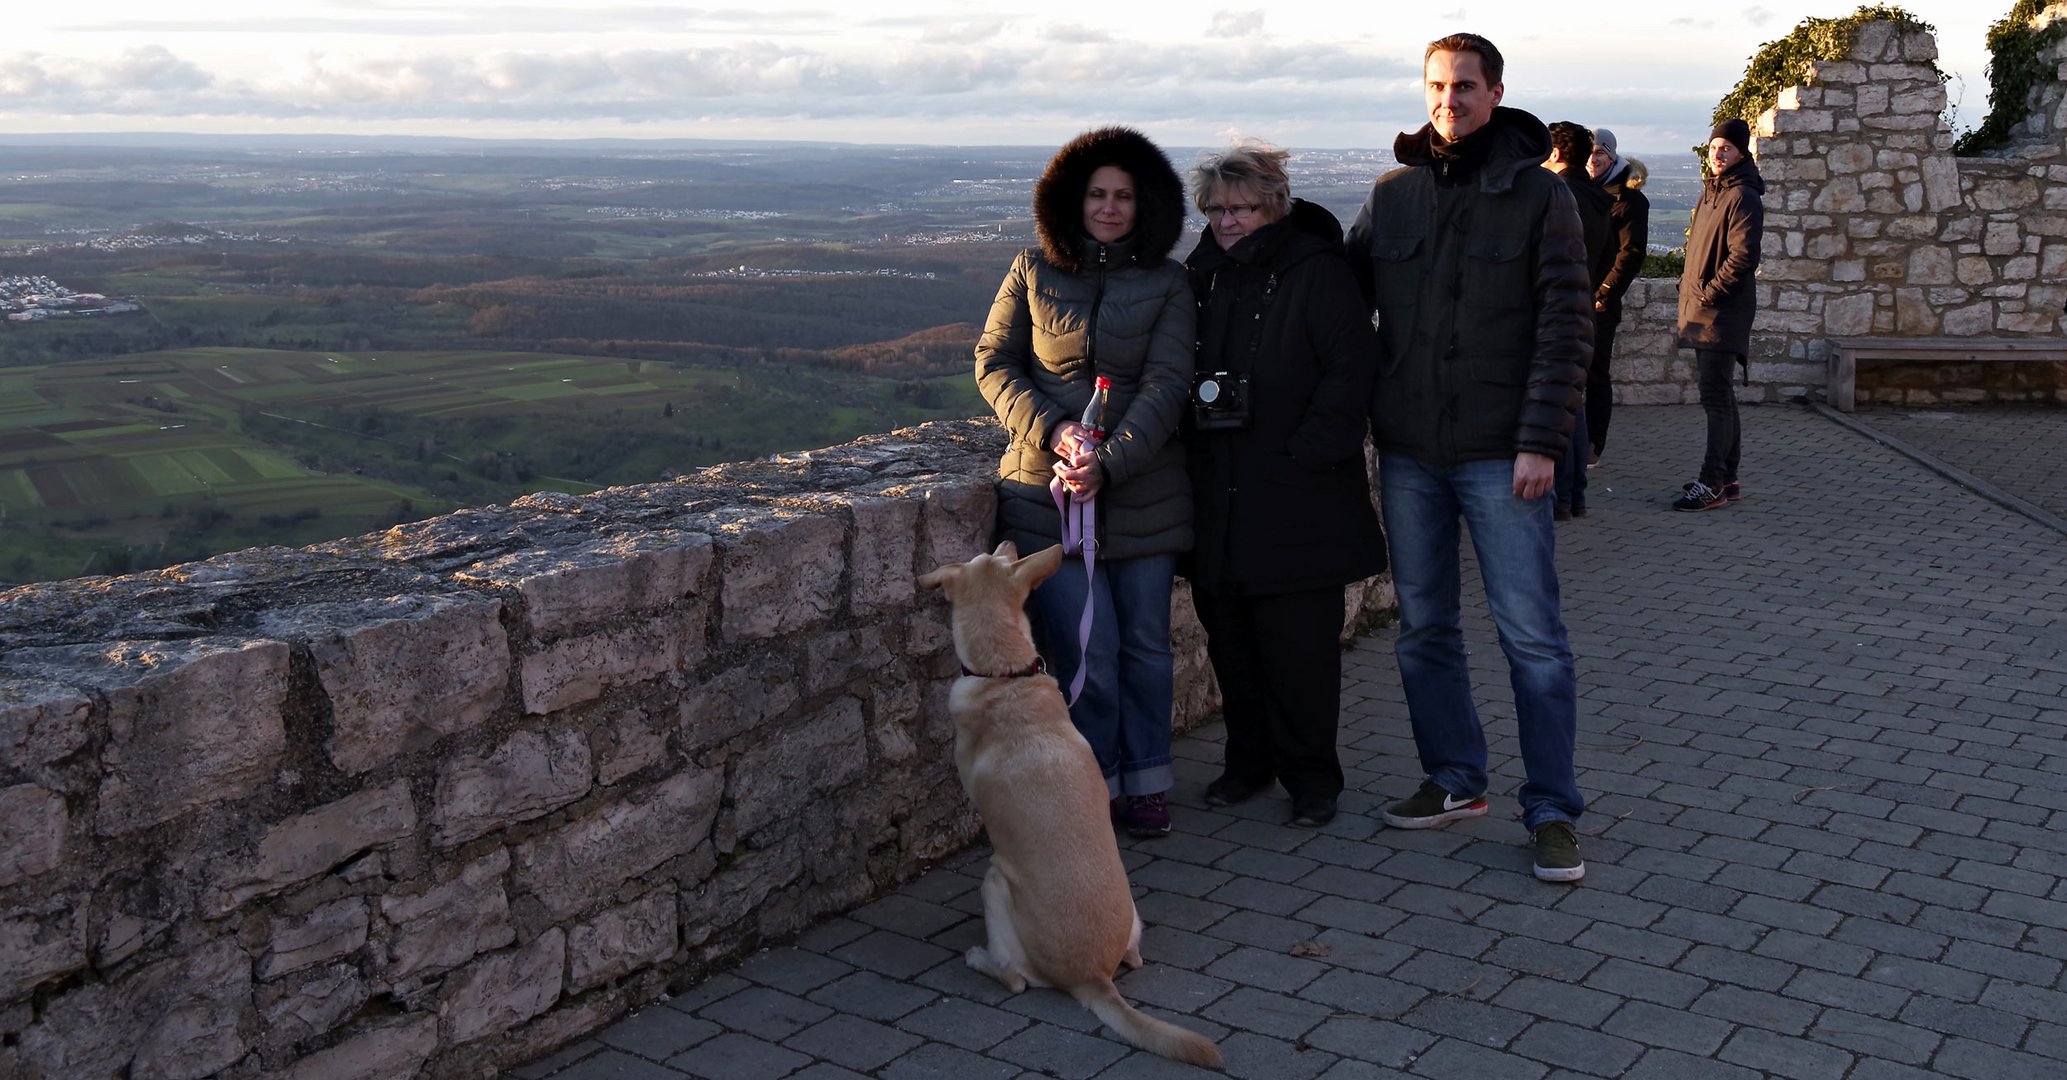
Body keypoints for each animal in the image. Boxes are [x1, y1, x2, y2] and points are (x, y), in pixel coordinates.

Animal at [913, 542, 1215, 1059]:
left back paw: (979, 957)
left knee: (1016, 980)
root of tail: (1092, 976)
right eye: (997, 556)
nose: (1011, 543)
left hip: (994, 882)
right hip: (1132, 916)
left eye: (983, 554)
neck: (1007, 675)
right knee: (1134, 958)